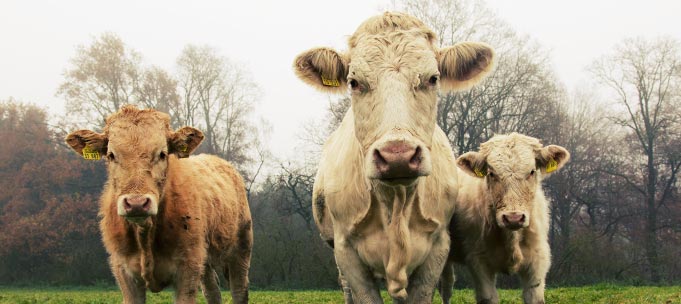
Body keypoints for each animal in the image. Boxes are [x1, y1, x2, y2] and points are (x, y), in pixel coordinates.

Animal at [63, 105, 250, 304]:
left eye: (162, 154)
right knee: (212, 290)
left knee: (239, 289)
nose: (136, 203)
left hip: (241, 247)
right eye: (111, 155)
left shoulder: (188, 268)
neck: (146, 236)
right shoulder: (123, 271)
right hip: (205, 260)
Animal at [292, 11, 494, 304]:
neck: (396, 202)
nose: (397, 155)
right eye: (354, 82)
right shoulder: (345, 250)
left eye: (433, 78)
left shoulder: (438, 246)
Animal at [436, 134, 568, 304]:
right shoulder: (479, 261)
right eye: (491, 173)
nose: (513, 218)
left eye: (532, 171)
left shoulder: (538, 260)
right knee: (445, 286)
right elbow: (488, 297)